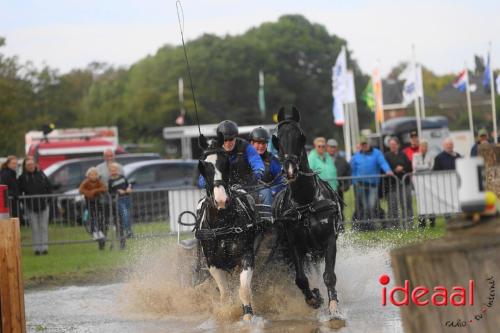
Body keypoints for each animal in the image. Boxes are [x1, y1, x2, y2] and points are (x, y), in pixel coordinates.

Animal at [195, 136, 260, 320]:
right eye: (203, 166)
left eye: (226, 163)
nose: (221, 200)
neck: (222, 225)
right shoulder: (212, 263)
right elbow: (224, 294)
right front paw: (226, 313)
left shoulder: (246, 256)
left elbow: (244, 290)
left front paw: (248, 317)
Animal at [272, 106, 346, 324]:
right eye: (277, 138)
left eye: (301, 136)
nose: (290, 170)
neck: (306, 202)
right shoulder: (295, 245)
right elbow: (301, 279)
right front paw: (314, 298)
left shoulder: (329, 240)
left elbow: (329, 275)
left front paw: (333, 308)